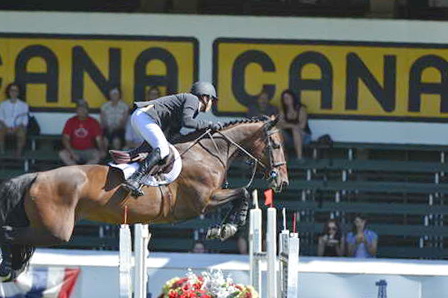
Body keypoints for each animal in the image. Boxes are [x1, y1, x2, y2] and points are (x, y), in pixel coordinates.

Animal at [0, 115, 288, 280]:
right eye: (275, 145)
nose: (282, 181)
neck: (209, 153)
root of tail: (36, 176)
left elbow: (241, 194)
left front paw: (223, 227)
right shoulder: (202, 201)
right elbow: (242, 194)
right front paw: (227, 227)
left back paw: (7, 268)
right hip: (55, 230)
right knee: (8, 232)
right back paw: (6, 269)